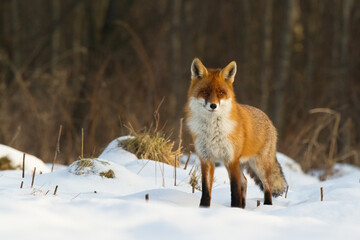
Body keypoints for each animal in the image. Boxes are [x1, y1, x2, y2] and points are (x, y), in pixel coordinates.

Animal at [186, 58, 286, 208]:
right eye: (205, 92)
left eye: (221, 93)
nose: (213, 105)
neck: (213, 131)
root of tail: (268, 118)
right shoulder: (206, 158)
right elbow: (206, 189)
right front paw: (204, 208)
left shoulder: (231, 159)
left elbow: (234, 189)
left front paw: (234, 209)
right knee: (244, 181)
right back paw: (243, 207)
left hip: (259, 166)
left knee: (267, 186)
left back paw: (267, 206)